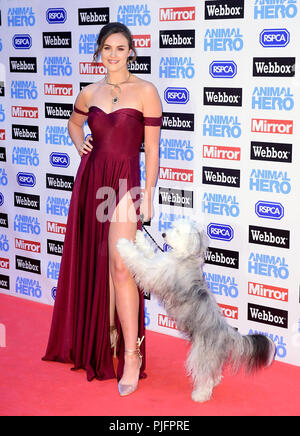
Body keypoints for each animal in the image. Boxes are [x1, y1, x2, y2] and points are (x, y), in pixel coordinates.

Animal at [116, 220, 276, 404]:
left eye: (178, 231)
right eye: (173, 227)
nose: (163, 234)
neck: (185, 257)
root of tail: (226, 332)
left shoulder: (154, 273)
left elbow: (140, 260)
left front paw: (123, 244)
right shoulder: (158, 263)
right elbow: (149, 251)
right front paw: (140, 236)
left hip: (201, 354)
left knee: (204, 375)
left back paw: (200, 395)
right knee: (214, 373)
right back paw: (215, 382)